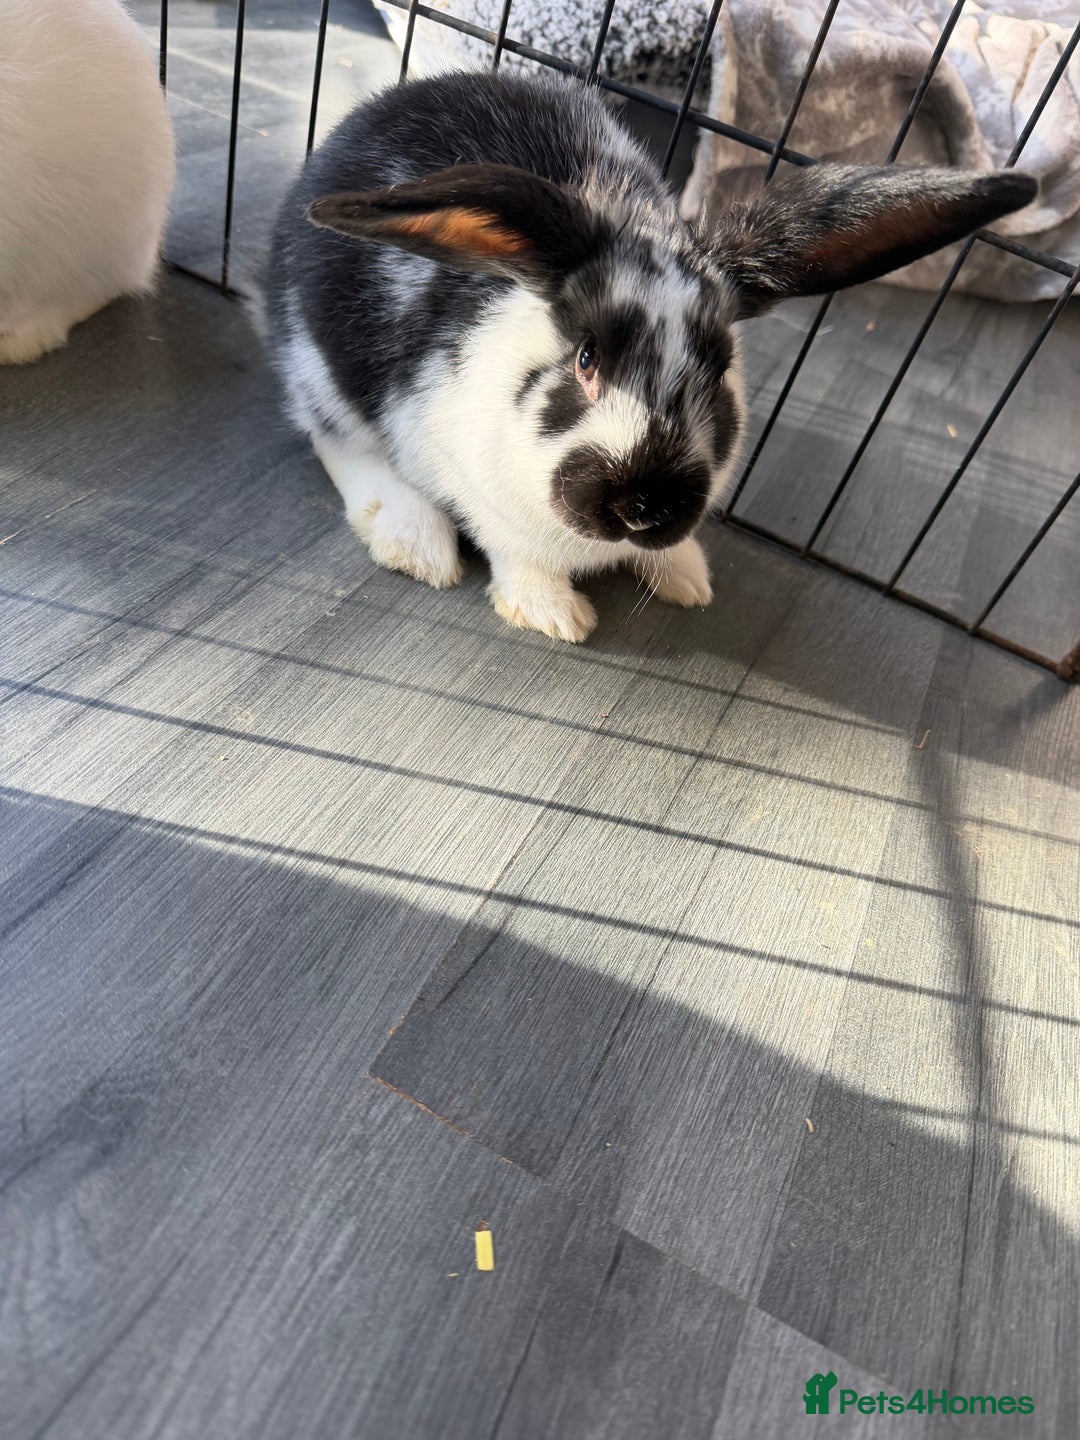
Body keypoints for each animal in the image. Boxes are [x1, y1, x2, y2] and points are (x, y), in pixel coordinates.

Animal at [265, 69, 1035, 643]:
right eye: (585, 357)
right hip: (319, 371)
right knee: (330, 437)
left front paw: (689, 581)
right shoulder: (454, 462)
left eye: (719, 370)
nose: (644, 505)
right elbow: (514, 552)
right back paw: (416, 544)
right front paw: (555, 615)